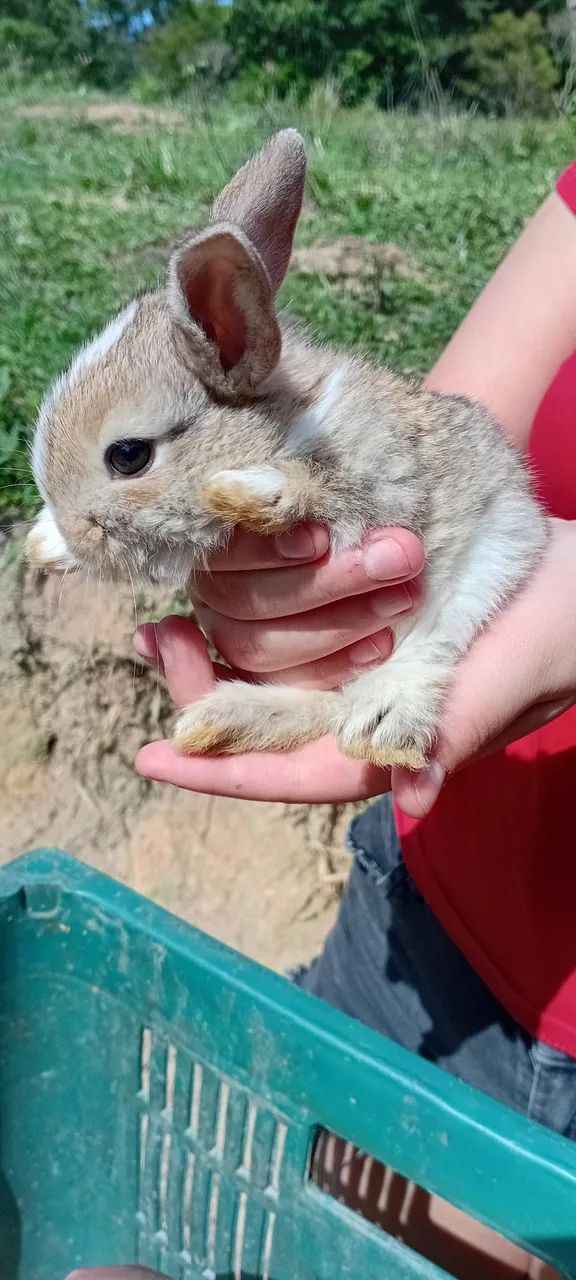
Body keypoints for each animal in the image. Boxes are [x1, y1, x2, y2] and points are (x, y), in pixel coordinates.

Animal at [27, 129, 548, 771]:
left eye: (128, 456)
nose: (74, 532)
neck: (284, 423)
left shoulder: (382, 487)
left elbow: (324, 489)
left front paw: (243, 490)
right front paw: (44, 543)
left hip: (494, 559)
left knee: (422, 659)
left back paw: (379, 726)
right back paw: (219, 723)